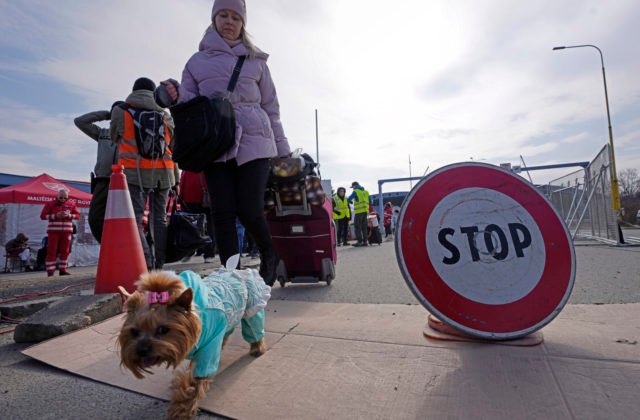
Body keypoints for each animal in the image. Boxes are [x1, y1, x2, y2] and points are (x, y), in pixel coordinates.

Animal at [117, 268, 270, 418]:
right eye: (134, 332)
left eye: (163, 329)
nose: (141, 350)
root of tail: (236, 270)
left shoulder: (208, 347)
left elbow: (194, 382)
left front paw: (180, 411)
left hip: (252, 306)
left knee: (253, 325)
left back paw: (257, 348)